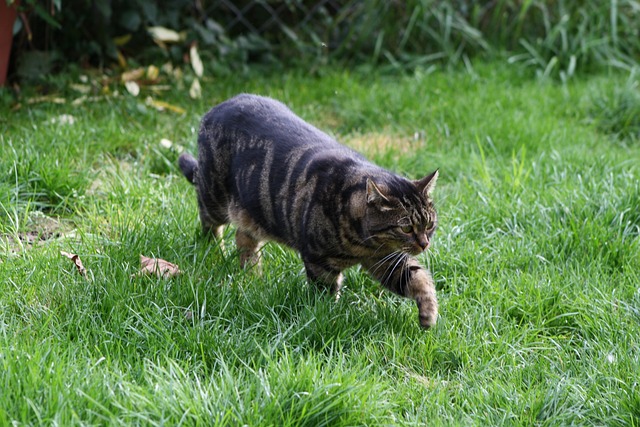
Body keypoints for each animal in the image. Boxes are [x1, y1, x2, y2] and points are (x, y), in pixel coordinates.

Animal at [180, 95, 440, 330]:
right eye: (406, 227)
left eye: (429, 225)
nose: (424, 244)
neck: (363, 244)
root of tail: (215, 108)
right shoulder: (319, 260)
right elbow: (325, 295)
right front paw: (330, 317)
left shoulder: (385, 260)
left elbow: (419, 278)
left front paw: (429, 313)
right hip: (214, 197)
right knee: (209, 224)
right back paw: (214, 250)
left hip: (253, 213)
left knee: (243, 238)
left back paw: (253, 274)